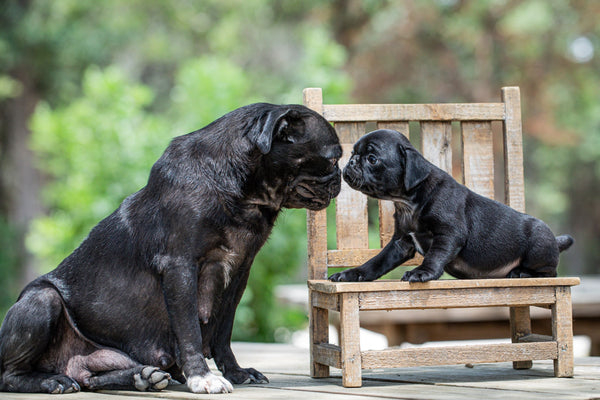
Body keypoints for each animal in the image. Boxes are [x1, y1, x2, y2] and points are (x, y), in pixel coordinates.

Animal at [0, 103, 342, 394]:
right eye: (332, 158)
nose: (340, 177)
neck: (243, 194)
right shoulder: (180, 267)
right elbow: (189, 329)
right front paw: (202, 377)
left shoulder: (238, 275)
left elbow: (223, 331)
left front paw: (236, 373)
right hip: (41, 301)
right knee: (10, 374)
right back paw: (51, 382)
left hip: (95, 357)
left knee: (88, 377)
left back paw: (142, 377)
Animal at [330, 130, 576, 282]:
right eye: (353, 153)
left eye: (372, 159)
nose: (351, 162)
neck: (409, 201)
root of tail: (555, 240)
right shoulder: (400, 243)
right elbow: (377, 262)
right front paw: (352, 274)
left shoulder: (448, 234)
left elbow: (434, 256)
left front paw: (422, 273)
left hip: (538, 246)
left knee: (549, 272)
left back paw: (522, 273)